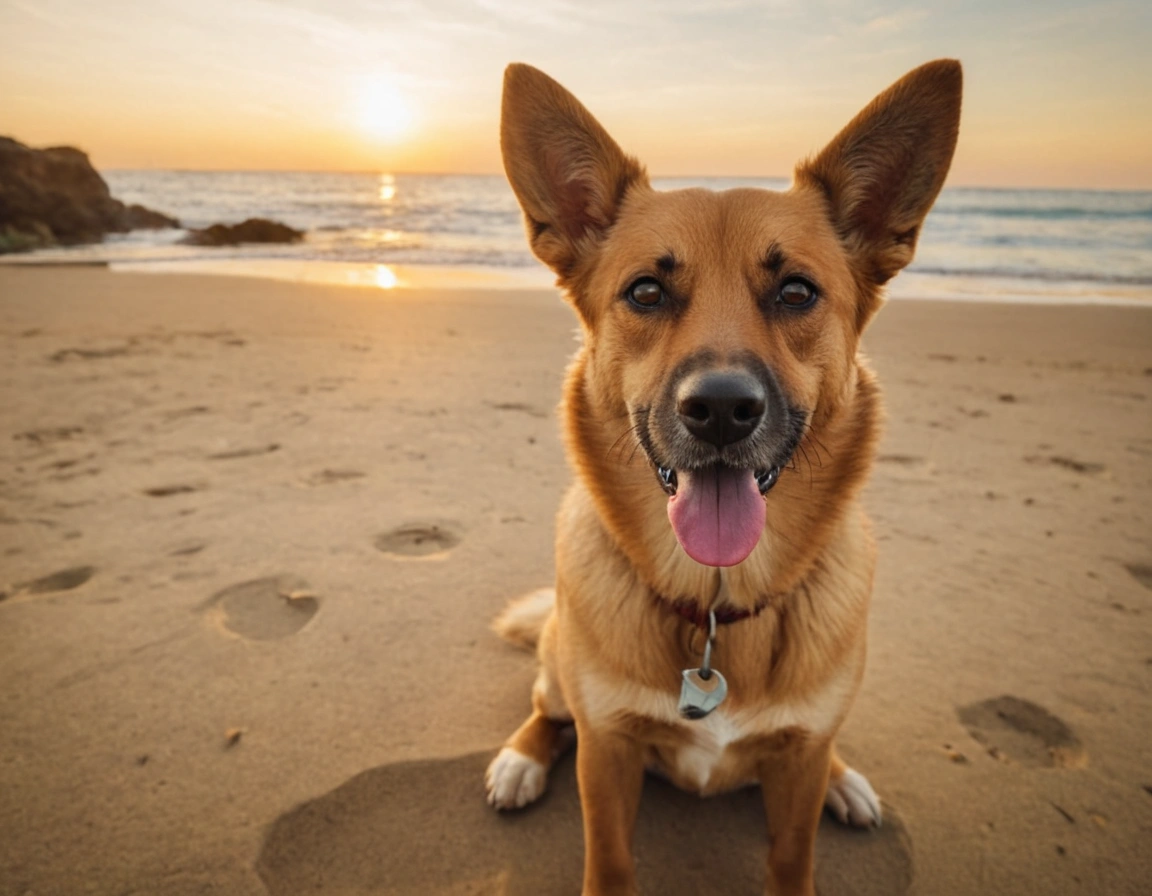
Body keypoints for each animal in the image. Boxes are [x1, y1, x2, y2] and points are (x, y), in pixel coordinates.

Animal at [486, 61, 963, 893]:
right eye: (646, 291)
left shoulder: (797, 766)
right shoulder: (607, 755)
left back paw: (846, 779)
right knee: (548, 711)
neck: (714, 607)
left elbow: (793, 854)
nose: (719, 410)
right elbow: (609, 860)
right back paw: (522, 758)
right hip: (557, 672)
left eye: (797, 291)